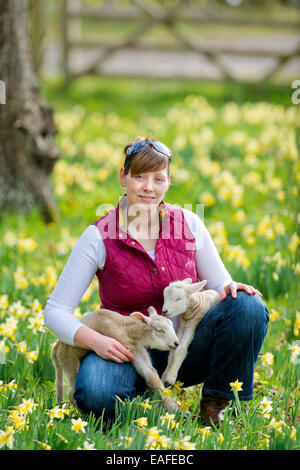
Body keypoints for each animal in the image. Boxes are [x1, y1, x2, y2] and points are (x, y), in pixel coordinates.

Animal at [51, 304, 180, 412]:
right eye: (159, 330)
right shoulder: (129, 349)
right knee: (71, 392)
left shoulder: (138, 350)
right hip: (70, 363)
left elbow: (152, 375)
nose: (176, 343)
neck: (128, 330)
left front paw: (171, 405)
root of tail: (56, 347)